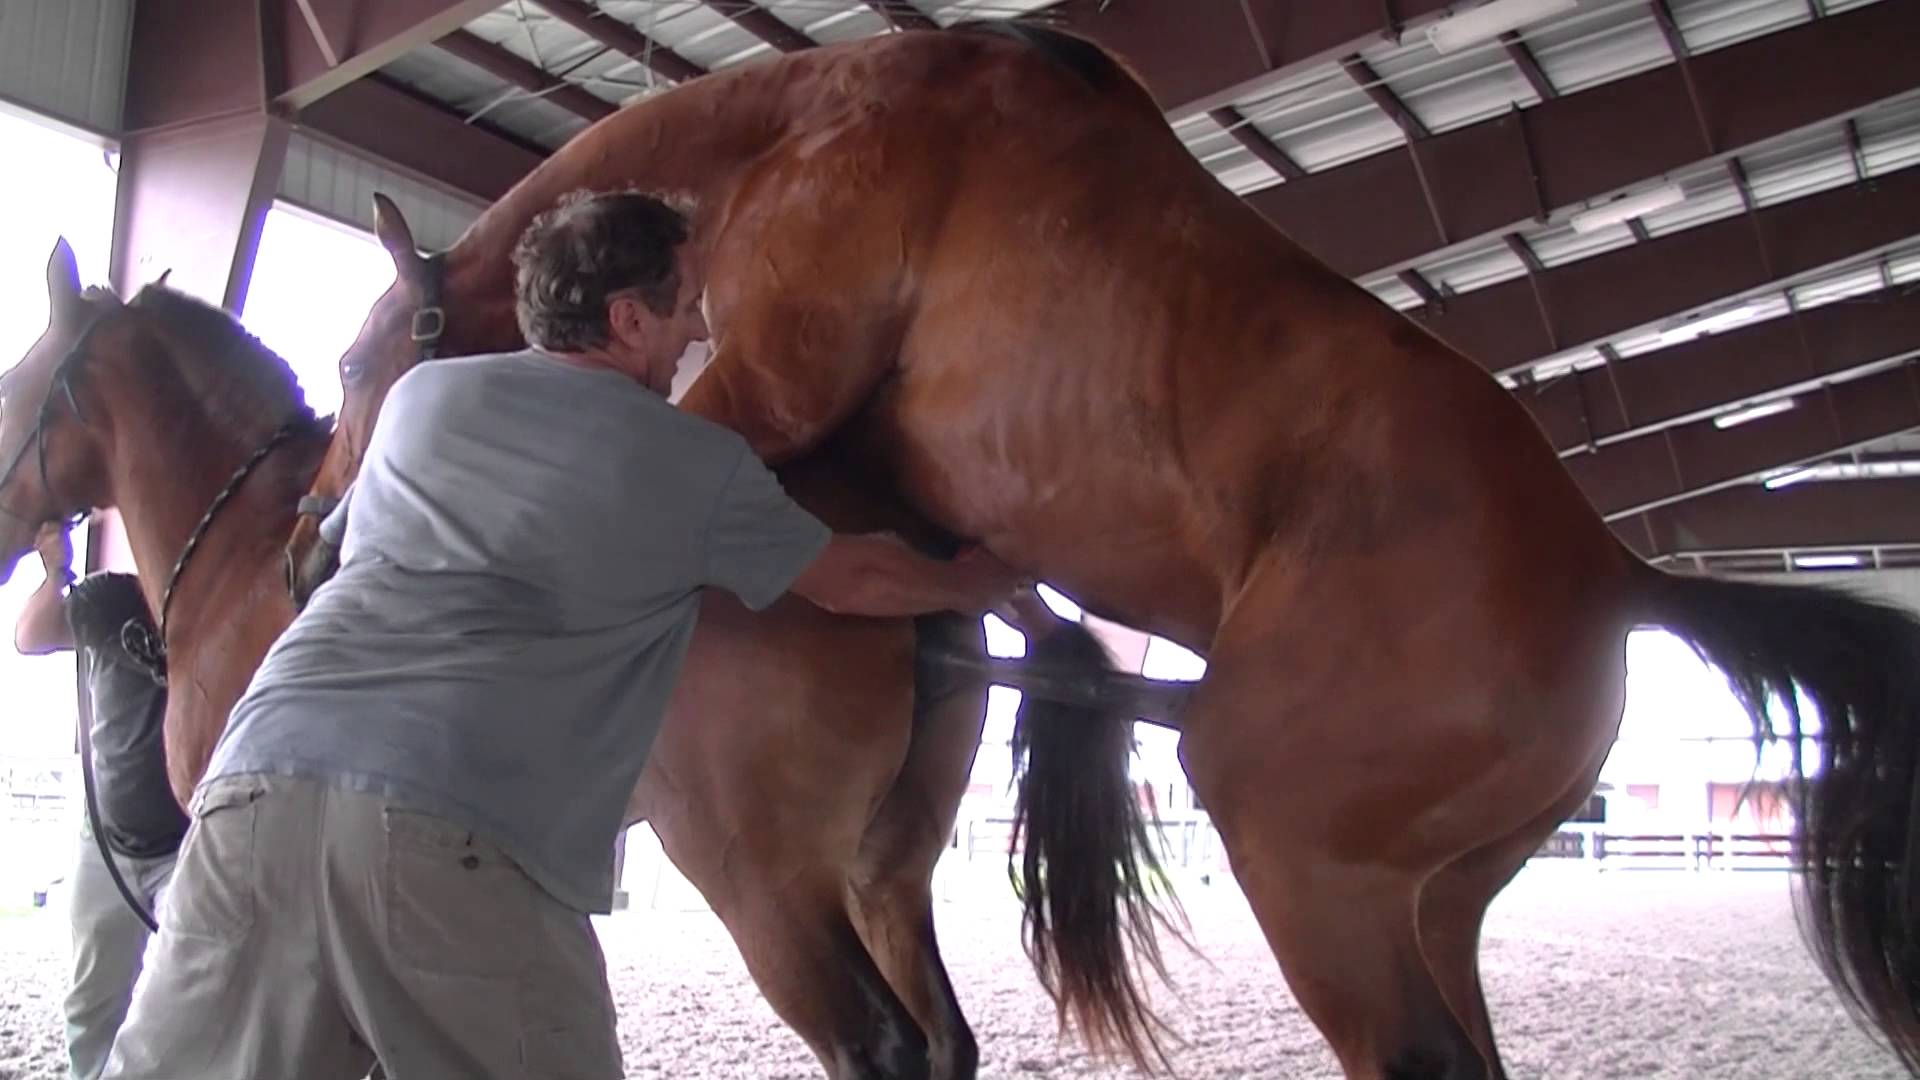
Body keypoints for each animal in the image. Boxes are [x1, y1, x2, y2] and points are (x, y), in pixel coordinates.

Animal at [291, 18, 1920, 1076]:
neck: (822, 125)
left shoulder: (763, 399)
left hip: (1303, 866)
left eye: (362, 358)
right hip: (1432, 902)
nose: (311, 536)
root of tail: (1617, 574)